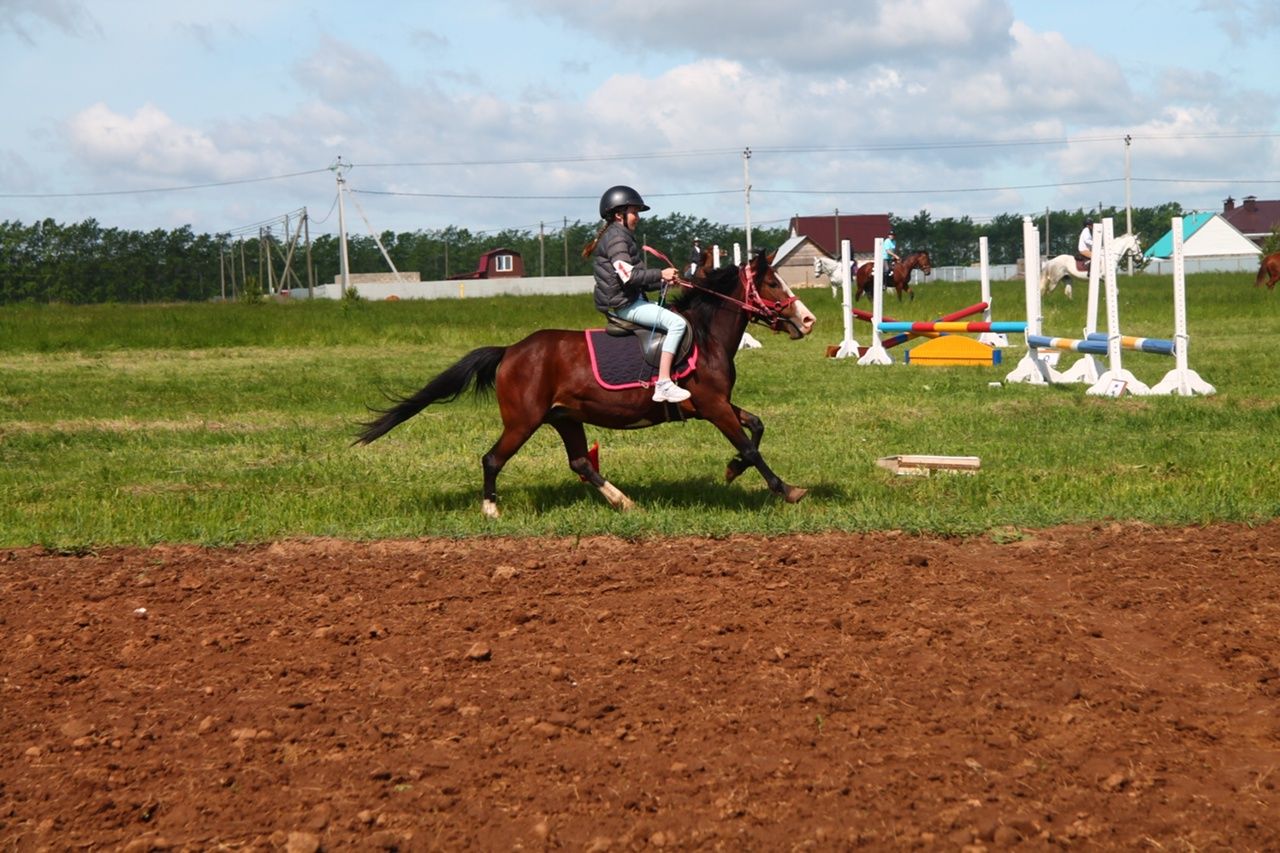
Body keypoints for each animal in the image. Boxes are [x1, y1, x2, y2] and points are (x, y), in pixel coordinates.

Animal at [353, 249, 819, 514]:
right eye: (772, 282)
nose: (808, 320)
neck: (704, 335)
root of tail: (511, 351)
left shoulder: (716, 404)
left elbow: (756, 426)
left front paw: (731, 469)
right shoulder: (713, 406)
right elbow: (750, 446)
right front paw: (786, 490)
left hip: (565, 418)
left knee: (580, 462)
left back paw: (623, 501)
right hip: (523, 421)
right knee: (492, 459)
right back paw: (490, 511)